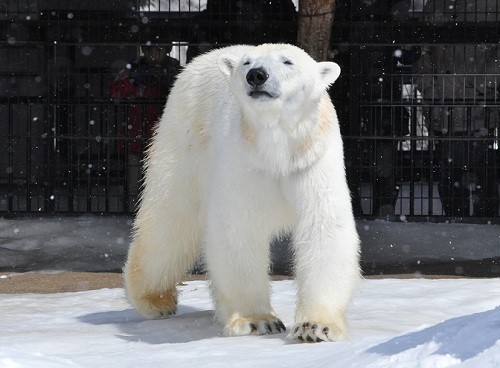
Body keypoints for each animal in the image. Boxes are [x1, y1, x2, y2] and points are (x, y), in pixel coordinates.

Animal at [124, 43, 360, 342]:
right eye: (247, 63)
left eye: (288, 61)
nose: (257, 75)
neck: (276, 147)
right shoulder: (244, 161)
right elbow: (239, 227)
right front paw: (257, 321)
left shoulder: (311, 159)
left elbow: (322, 226)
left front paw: (315, 327)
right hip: (185, 139)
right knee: (170, 219)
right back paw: (156, 299)